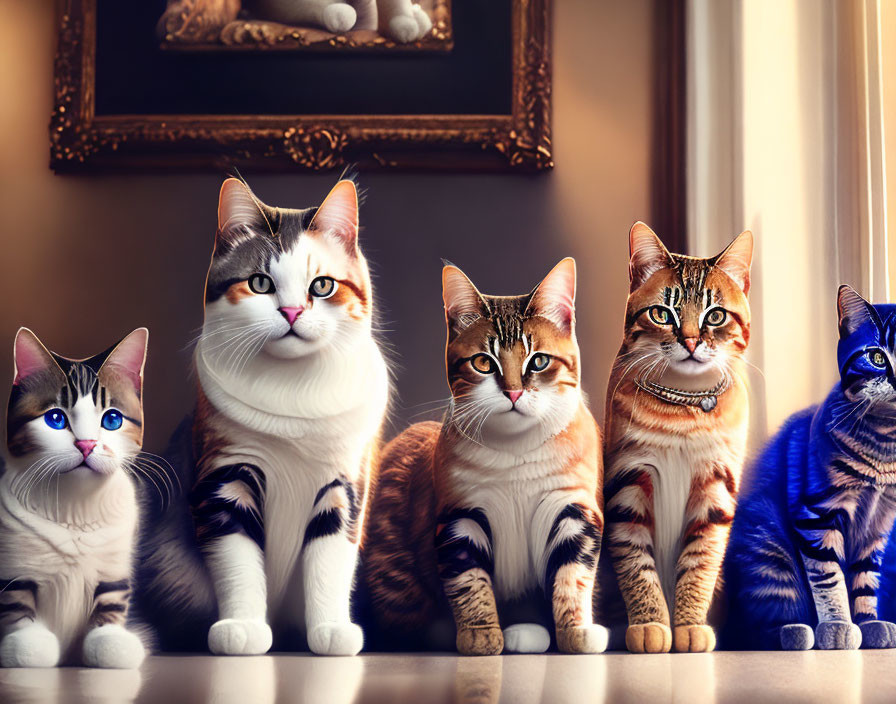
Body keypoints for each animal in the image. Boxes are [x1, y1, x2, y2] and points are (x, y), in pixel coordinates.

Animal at [0, 328, 149, 668]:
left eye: (112, 420)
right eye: (55, 418)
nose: (86, 444)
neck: (76, 508)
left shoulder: (114, 563)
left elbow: (111, 602)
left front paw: (110, 641)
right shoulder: (14, 562)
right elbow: (16, 602)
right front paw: (27, 644)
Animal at [138, 177, 390, 656]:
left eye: (322, 286)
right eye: (259, 283)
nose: (291, 312)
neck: (294, 394)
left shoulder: (345, 485)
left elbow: (329, 564)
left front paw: (331, 631)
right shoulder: (224, 477)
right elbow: (238, 562)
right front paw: (243, 628)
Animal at [724, 284, 896, 648]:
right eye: (877, 358)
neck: (886, 445)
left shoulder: (877, 527)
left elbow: (865, 582)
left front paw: (869, 624)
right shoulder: (817, 515)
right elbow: (829, 579)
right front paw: (838, 627)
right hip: (769, 550)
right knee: (761, 627)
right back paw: (798, 632)